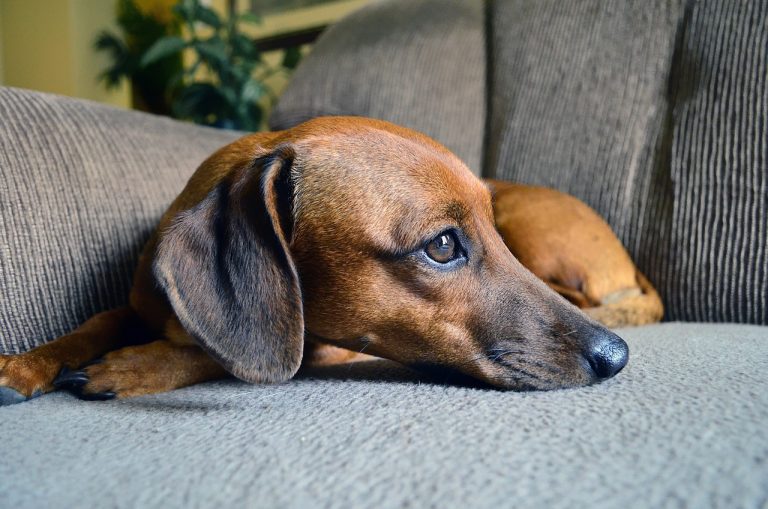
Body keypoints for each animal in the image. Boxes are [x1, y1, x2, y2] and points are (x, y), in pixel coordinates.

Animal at [0, 117, 660, 402]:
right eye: (443, 245)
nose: (616, 356)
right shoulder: (135, 304)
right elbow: (95, 322)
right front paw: (26, 364)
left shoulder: (318, 345)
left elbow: (215, 355)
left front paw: (133, 367)